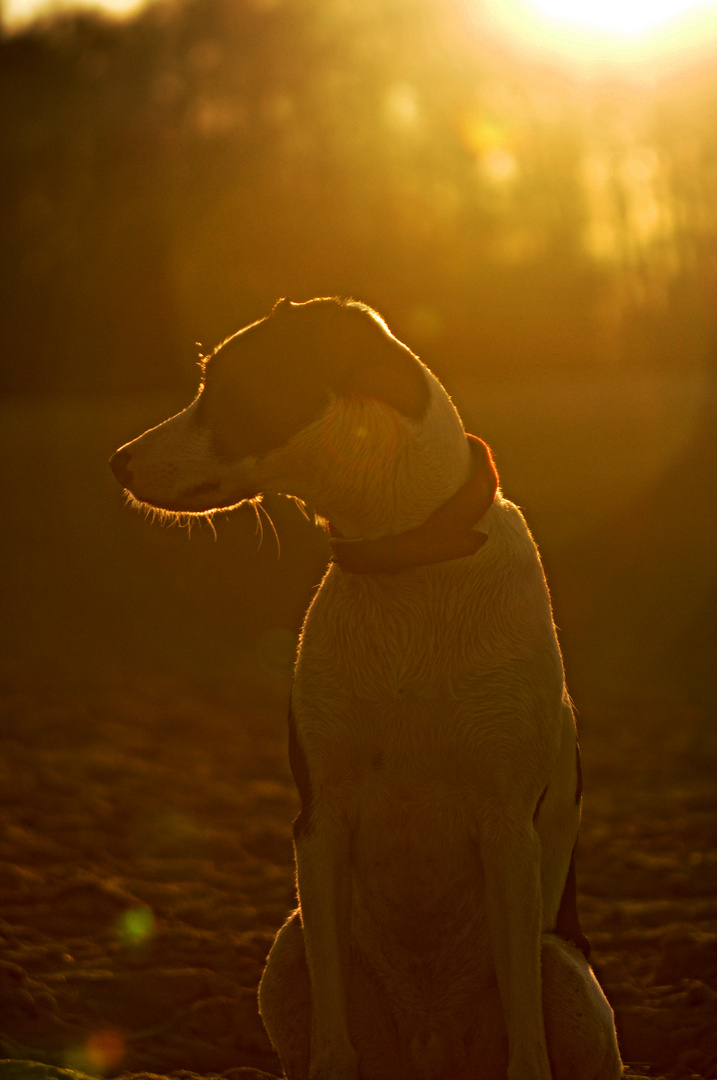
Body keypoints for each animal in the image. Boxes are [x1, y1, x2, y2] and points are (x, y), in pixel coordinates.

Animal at [110, 298, 621, 1080]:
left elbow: (525, 1041)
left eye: (223, 388)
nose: (118, 462)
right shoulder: (321, 823)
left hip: (563, 972)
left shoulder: (509, 829)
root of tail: (430, 1051)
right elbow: (332, 1036)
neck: (405, 558)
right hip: (287, 953)